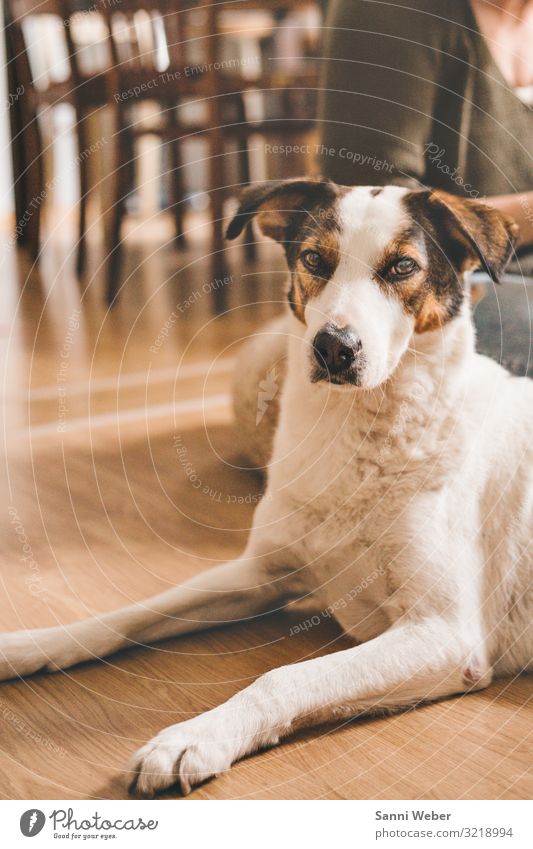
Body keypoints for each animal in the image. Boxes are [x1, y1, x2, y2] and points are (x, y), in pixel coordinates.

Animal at [1, 179, 532, 796]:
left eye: (403, 266)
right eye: (314, 260)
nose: (333, 348)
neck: (357, 431)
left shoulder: (444, 634)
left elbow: (282, 677)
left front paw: (193, 737)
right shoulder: (260, 572)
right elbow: (130, 612)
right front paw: (31, 645)